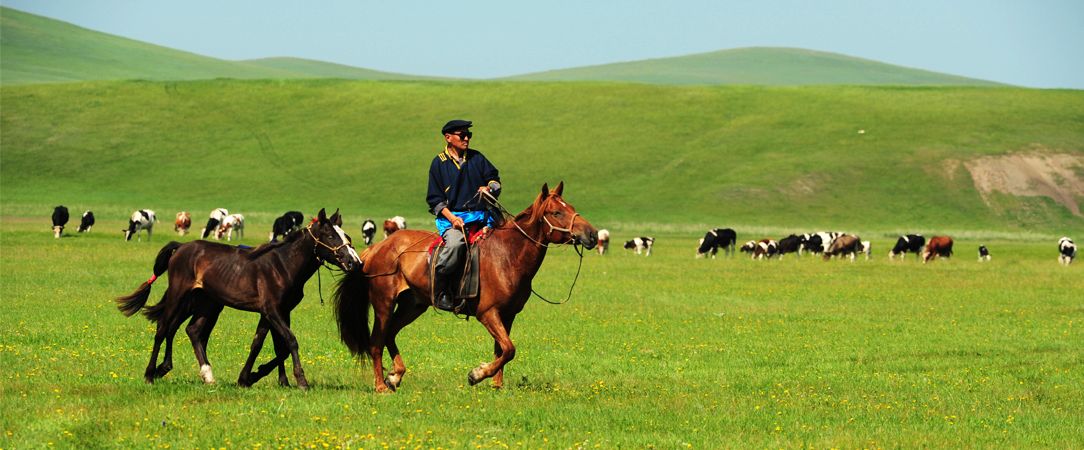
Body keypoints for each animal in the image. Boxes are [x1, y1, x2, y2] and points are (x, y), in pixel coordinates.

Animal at [115, 209, 359, 390]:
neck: (283, 265)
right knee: (164, 328)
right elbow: (290, 341)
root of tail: (181, 247)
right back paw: (151, 374)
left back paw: (205, 374)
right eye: (330, 236)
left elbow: (268, 344)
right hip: (180, 296)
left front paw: (252, 378)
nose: (354, 262)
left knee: (192, 331)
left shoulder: (279, 311)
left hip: (207, 304)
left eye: (347, 237)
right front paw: (300, 381)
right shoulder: (272, 310)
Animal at [333, 181, 598, 392]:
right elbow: (509, 349)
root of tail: (376, 248)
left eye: (571, 208)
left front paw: (496, 385)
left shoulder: (508, 315)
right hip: (384, 304)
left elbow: (502, 350)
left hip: (413, 305)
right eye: (556, 212)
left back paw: (395, 376)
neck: (508, 254)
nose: (592, 235)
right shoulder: (488, 313)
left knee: (390, 334)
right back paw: (380, 386)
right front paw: (476, 374)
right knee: (376, 341)